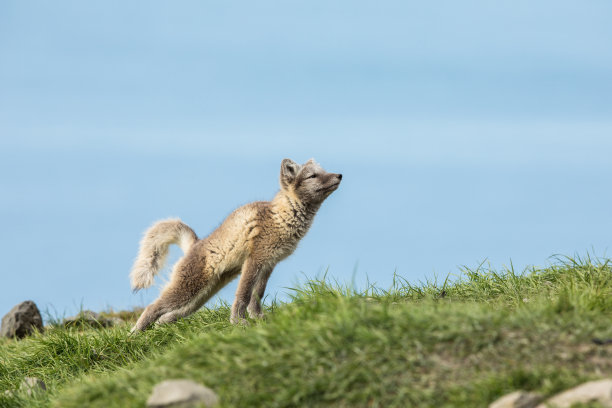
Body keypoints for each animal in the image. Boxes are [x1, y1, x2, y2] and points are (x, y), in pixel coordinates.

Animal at [130, 158, 340, 330]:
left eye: (324, 171)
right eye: (313, 176)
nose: (339, 175)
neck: (280, 217)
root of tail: (196, 243)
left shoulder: (269, 264)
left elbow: (257, 296)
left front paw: (258, 317)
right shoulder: (255, 260)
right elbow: (244, 295)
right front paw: (239, 322)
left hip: (202, 295)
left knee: (171, 314)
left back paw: (161, 326)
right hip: (187, 290)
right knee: (151, 307)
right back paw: (135, 335)